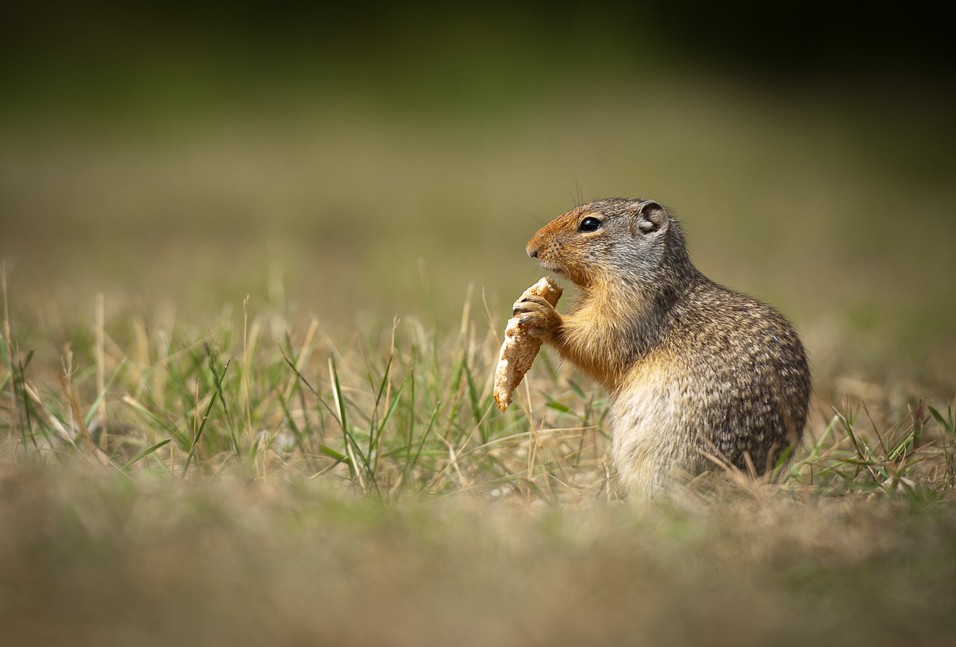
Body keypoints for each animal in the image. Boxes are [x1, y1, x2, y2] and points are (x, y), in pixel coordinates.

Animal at [520, 197, 812, 496]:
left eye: (590, 224)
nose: (532, 248)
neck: (648, 274)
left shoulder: (629, 310)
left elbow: (596, 343)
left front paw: (543, 314)